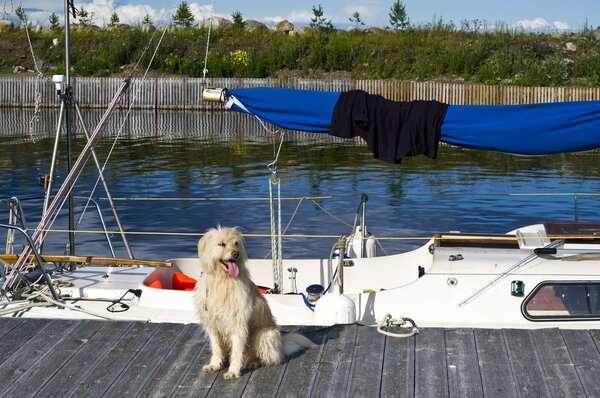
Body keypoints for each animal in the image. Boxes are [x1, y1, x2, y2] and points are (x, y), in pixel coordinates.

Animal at [193, 227, 316, 380]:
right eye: (221, 244)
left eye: (236, 243)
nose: (236, 253)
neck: (223, 280)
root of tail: (281, 345)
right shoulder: (212, 324)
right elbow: (216, 348)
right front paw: (214, 365)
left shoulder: (238, 323)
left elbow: (237, 351)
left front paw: (233, 371)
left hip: (264, 335)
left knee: (266, 358)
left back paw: (253, 362)